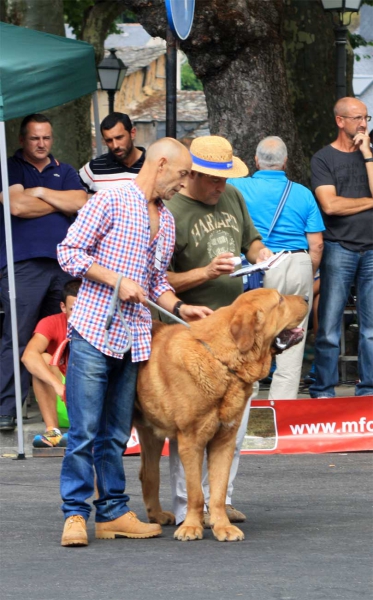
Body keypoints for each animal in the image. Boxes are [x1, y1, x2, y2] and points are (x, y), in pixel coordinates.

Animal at [135, 288, 306, 540]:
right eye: (280, 300)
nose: (306, 298)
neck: (223, 361)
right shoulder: (191, 441)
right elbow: (195, 493)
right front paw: (191, 527)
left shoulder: (224, 440)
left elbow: (218, 491)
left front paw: (223, 527)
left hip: (151, 433)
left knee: (149, 473)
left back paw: (156, 516)